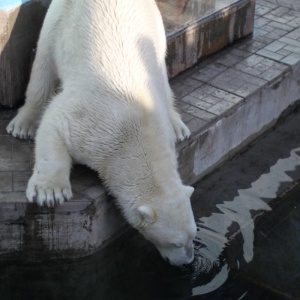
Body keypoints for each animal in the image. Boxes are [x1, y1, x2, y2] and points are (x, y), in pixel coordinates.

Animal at [6, 0, 197, 268]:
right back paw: (23, 124)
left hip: (154, 27)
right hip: (60, 18)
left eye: (193, 236)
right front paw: (50, 192)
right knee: (43, 64)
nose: (188, 261)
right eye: (176, 243)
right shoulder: (93, 122)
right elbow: (54, 122)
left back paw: (179, 126)